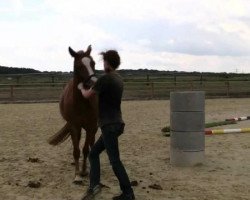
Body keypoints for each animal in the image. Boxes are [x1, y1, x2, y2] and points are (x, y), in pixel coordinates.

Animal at [47, 44, 98, 184]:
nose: (94, 84)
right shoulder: (74, 126)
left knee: (91, 143)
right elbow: (76, 150)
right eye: (79, 66)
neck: (81, 102)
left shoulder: (91, 125)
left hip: (94, 127)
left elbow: (86, 149)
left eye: (93, 63)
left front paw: (84, 171)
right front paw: (77, 175)